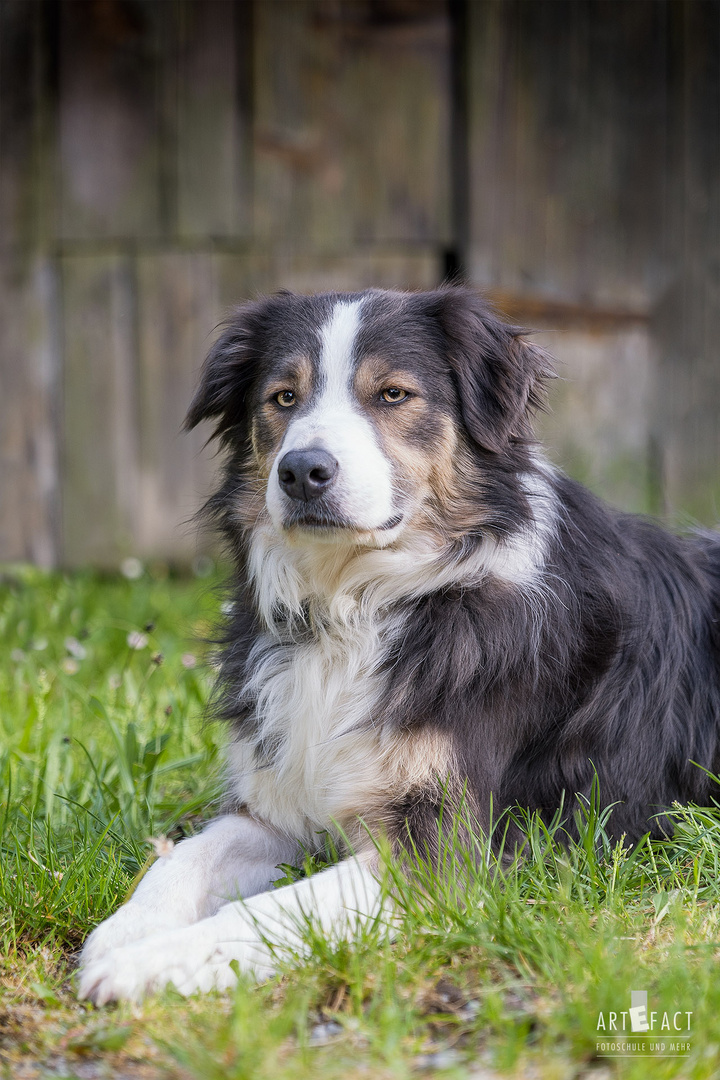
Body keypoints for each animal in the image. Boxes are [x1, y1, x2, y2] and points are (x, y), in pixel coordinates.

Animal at [77, 287, 720, 1002]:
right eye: (283, 397)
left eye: (392, 394)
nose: (301, 470)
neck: (362, 605)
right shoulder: (275, 802)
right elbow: (183, 858)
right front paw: (125, 932)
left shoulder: (445, 852)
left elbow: (274, 909)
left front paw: (150, 964)